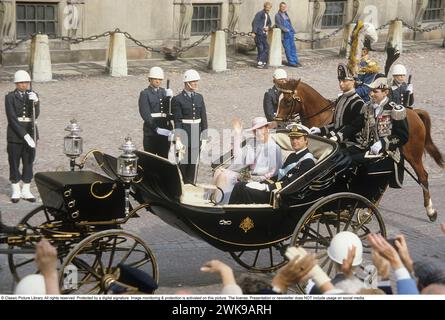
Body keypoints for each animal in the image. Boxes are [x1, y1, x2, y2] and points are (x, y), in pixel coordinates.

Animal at [276, 79, 442, 221]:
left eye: (288, 101)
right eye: (278, 99)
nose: (277, 124)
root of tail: (414, 112)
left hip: (412, 154)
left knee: (423, 177)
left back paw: (431, 211)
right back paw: (368, 211)